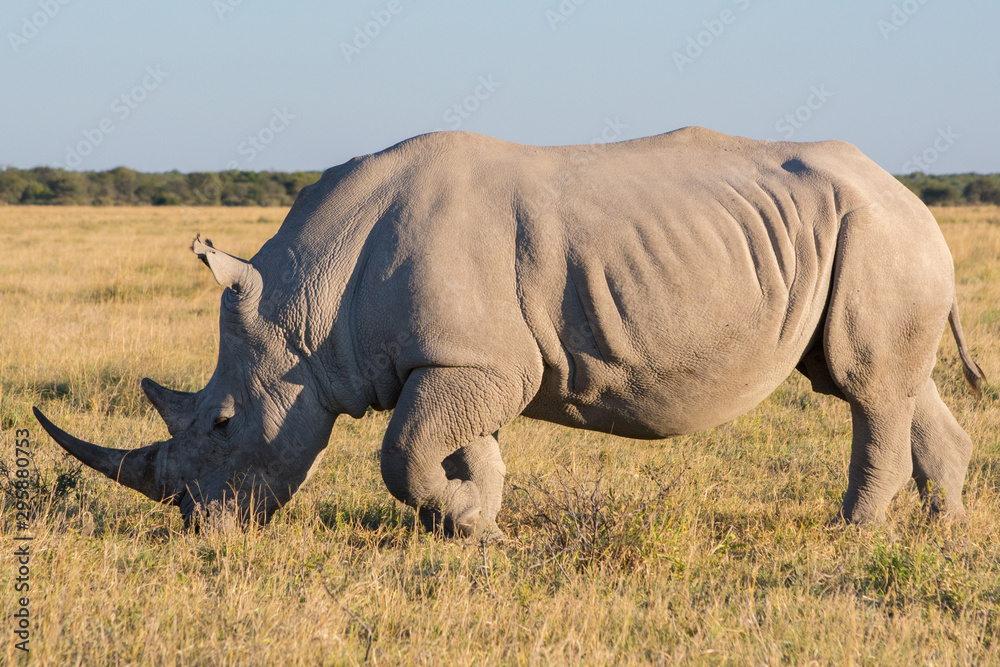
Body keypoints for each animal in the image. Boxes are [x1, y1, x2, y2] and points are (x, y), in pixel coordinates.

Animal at [34, 127, 985, 536]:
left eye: (224, 422)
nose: (205, 529)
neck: (311, 301)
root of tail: (911, 194)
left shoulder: (475, 361)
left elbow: (402, 450)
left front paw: (456, 516)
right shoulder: (472, 358)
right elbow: (464, 445)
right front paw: (475, 525)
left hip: (877, 232)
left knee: (865, 387)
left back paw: (850, 534)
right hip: (868, 238)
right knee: (891, 381)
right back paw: (941, 526)